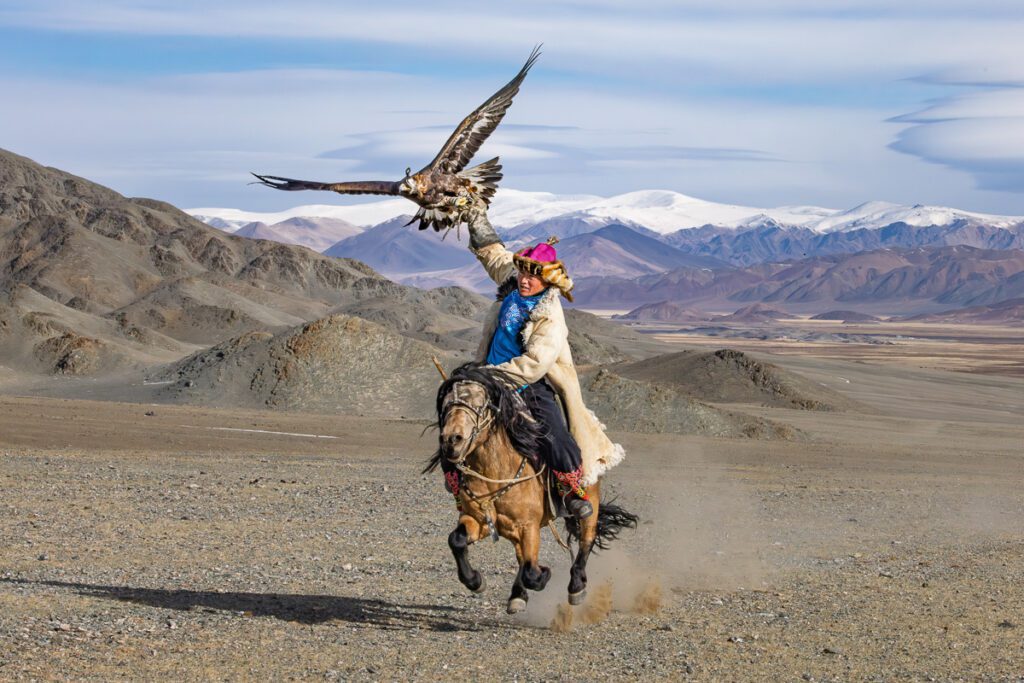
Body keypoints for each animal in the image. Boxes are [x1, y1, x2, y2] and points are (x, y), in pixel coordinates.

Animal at [425, 362, 638, 614]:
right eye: (446, 404)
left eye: (481, 404)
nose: (451, 440)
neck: (494, 473)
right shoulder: (479, 520)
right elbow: (456, 540)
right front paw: (475, 581)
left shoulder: (529, 526)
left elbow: (531, 572)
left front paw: (544, 575)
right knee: (521, 557)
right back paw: (518, 595)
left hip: (590, 501)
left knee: (587, 538)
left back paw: (576, 586)